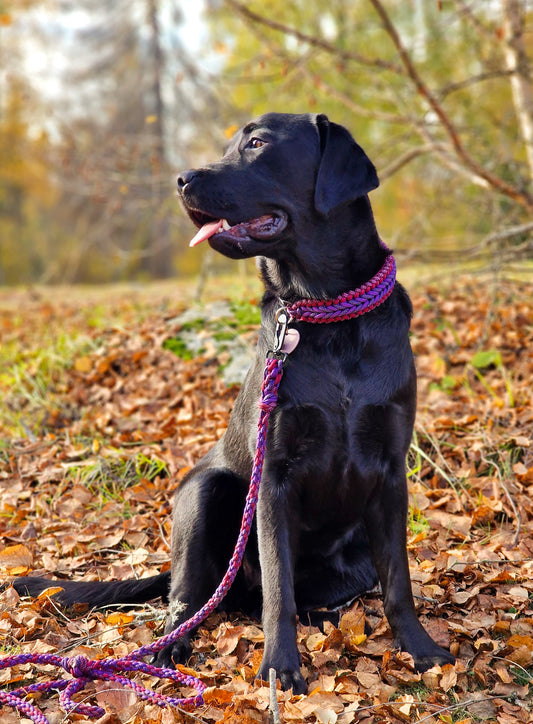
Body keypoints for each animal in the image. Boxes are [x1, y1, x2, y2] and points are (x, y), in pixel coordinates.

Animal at [11, 114, 454, 696]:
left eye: (258, 143)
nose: (181, 179)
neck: (325, 312)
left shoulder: (390, 470)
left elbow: (398, 580)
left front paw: (421, 649)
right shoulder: (274, 476)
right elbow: (278, 587)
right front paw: (279, 669)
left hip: (349, 561)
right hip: (203, 493)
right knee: (188, 599)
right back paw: (171, 646)